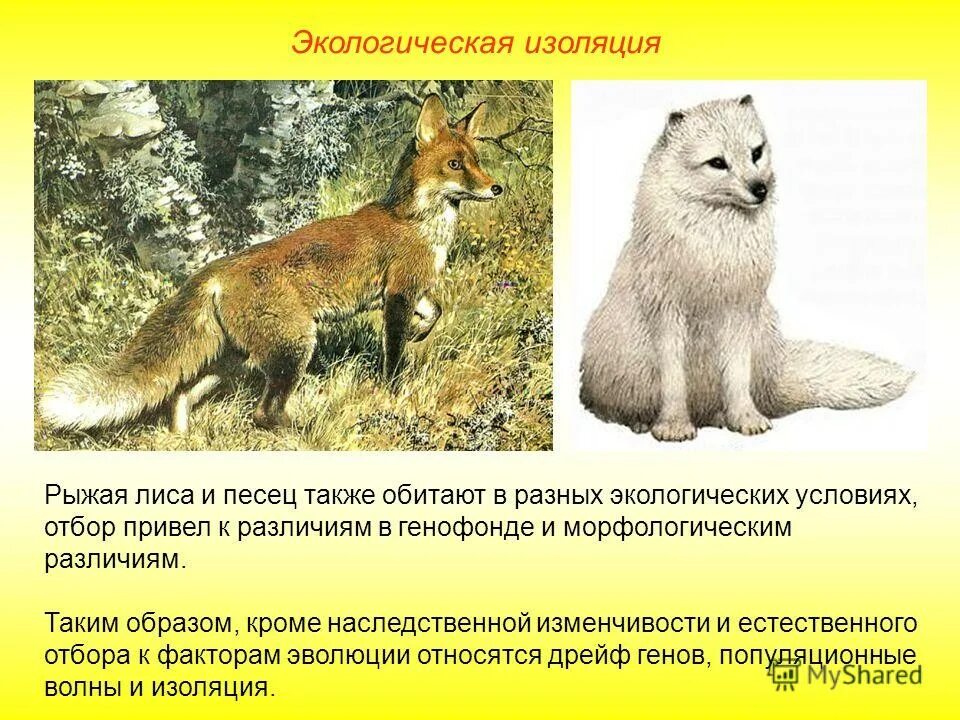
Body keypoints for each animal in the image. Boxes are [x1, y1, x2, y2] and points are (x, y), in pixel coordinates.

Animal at [39, 93, 502, 433]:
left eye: (477, 161)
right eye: (455, 165)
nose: (497, 188)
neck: (419, 223)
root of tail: (214, 272)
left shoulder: (407, 291)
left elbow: (435, 311)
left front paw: (422, 332)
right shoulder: (398, 294)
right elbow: (393, 357)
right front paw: (393, 392)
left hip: (233, 359)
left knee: (181, 395)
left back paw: (182, 438)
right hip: (293, 347)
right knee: (262, 414)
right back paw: (302, 433)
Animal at [580, 94, 914, 442]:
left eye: (756, 152)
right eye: (717, 162)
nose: (760, 189)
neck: (716, 249)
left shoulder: (741, 309)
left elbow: (737, 375)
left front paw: (745, 418)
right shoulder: (667, 313)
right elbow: (672, 380)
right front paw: (673, 426)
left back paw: (719, 417)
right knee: (609, 408)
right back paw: (641, 422)